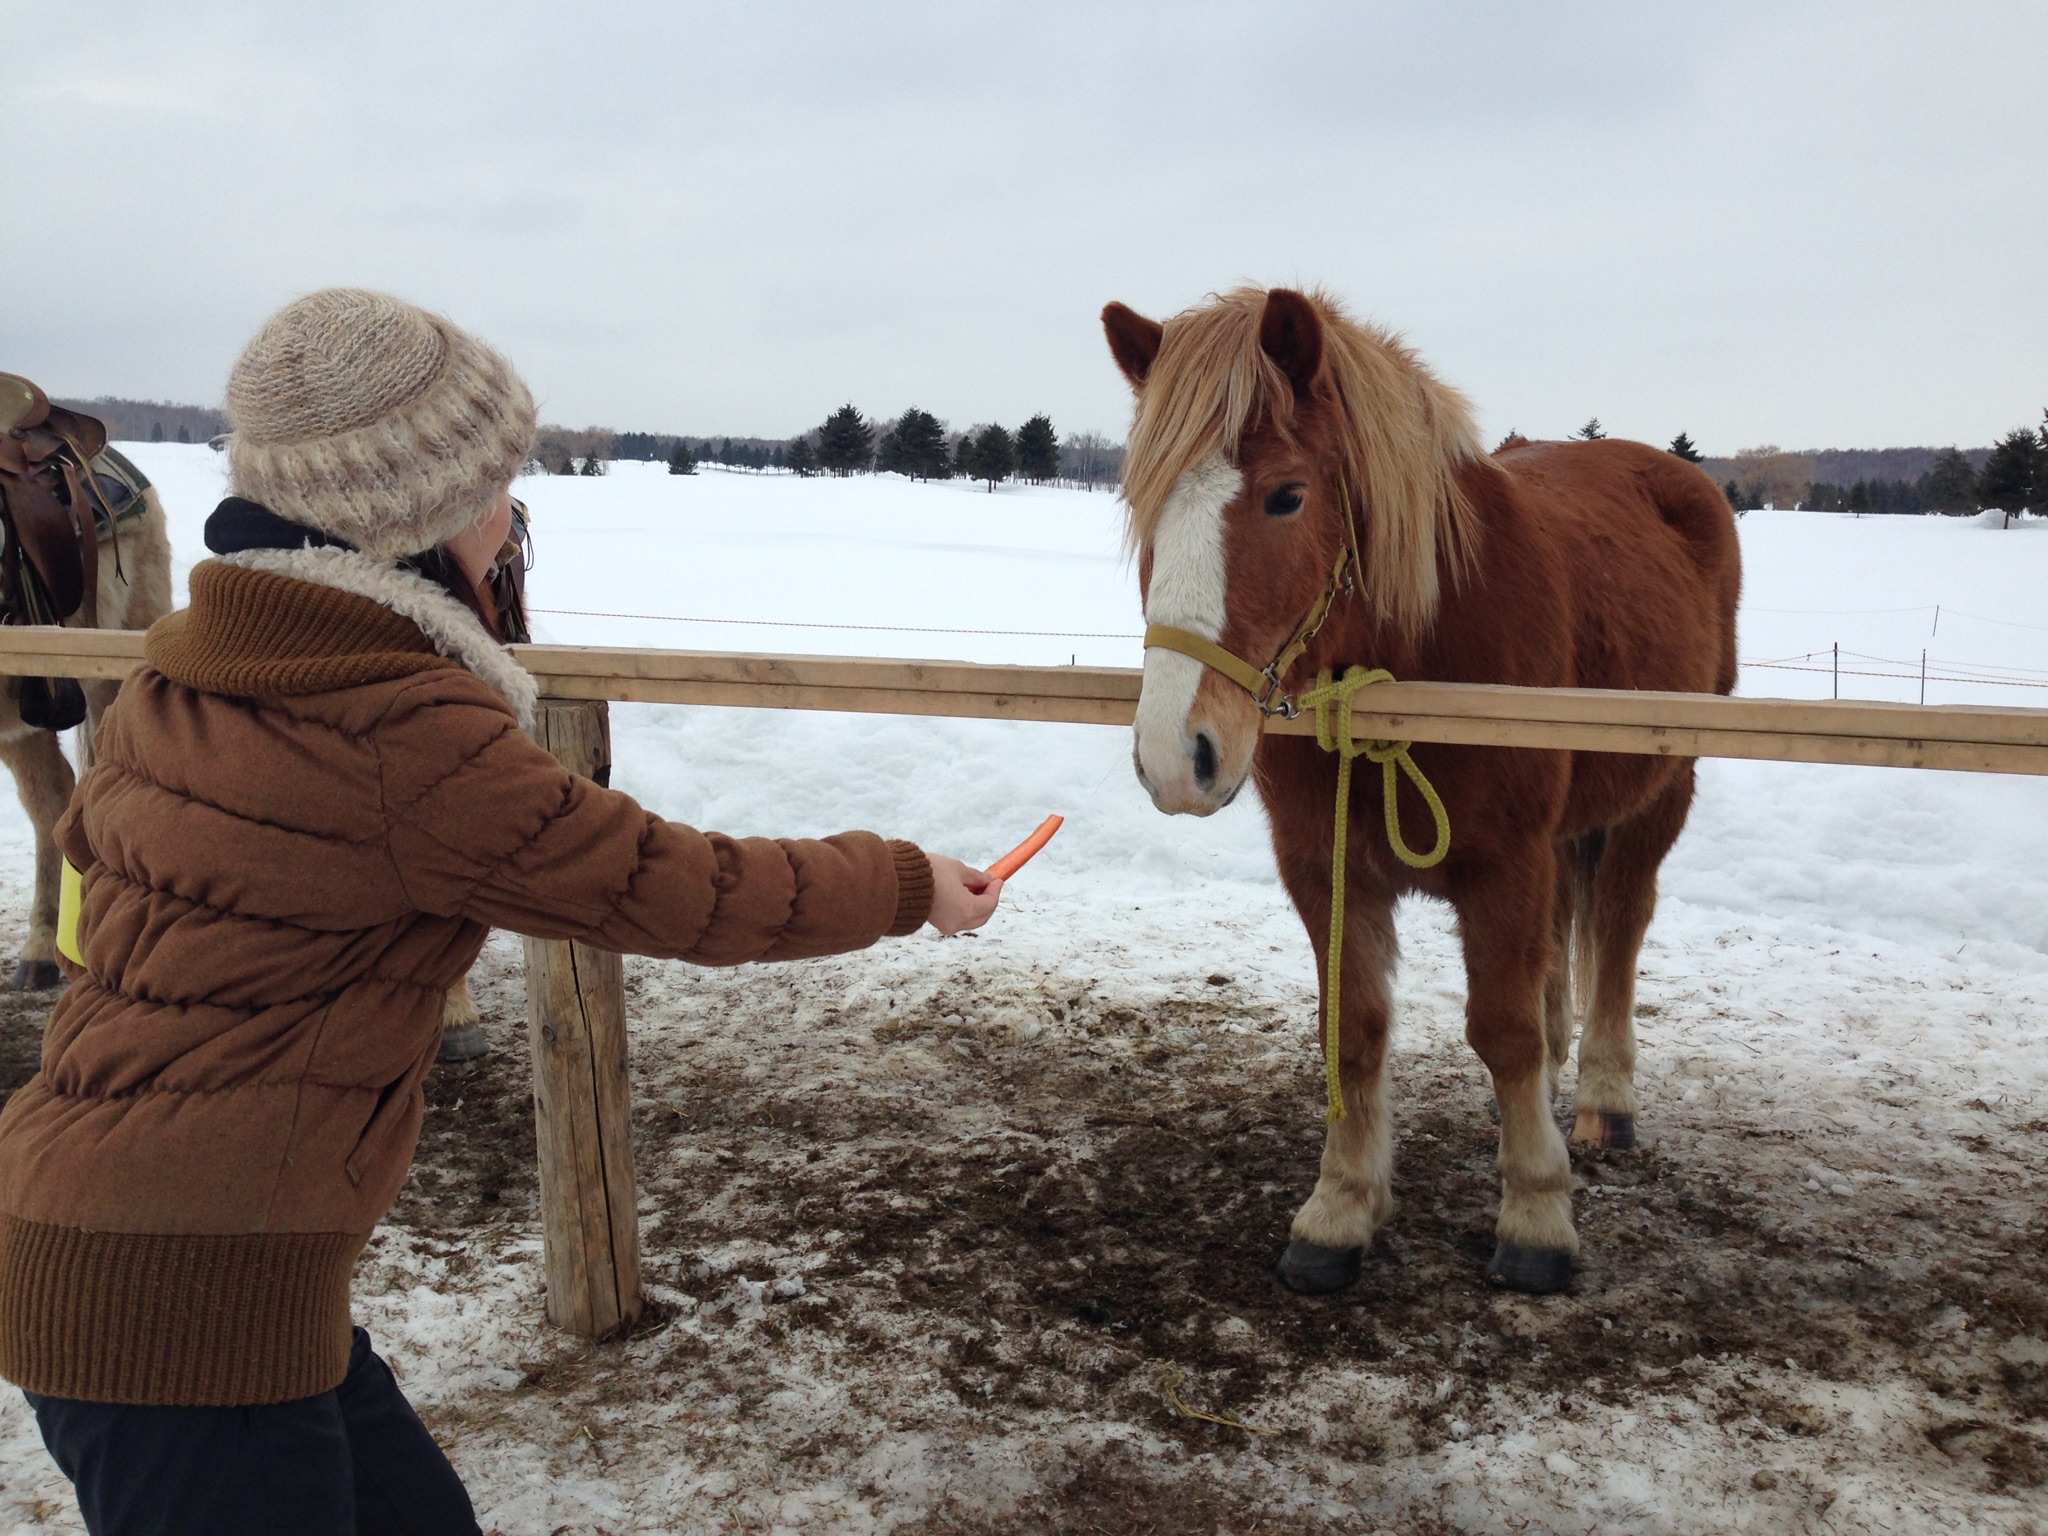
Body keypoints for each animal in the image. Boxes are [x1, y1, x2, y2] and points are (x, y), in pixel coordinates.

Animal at [1097, 290, 1736, 1302]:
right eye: (1142, 501)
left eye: (1287, 495)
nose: (1173, 758)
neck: (1417, 655)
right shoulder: (1324, 866)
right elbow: (1355, 1031)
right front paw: (1341, 1210)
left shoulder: (1505, 864)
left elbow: (1503, 1030)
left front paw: (1537, 1217)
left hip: (1657, 796)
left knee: (1620, 927)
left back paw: (1602, 1099)